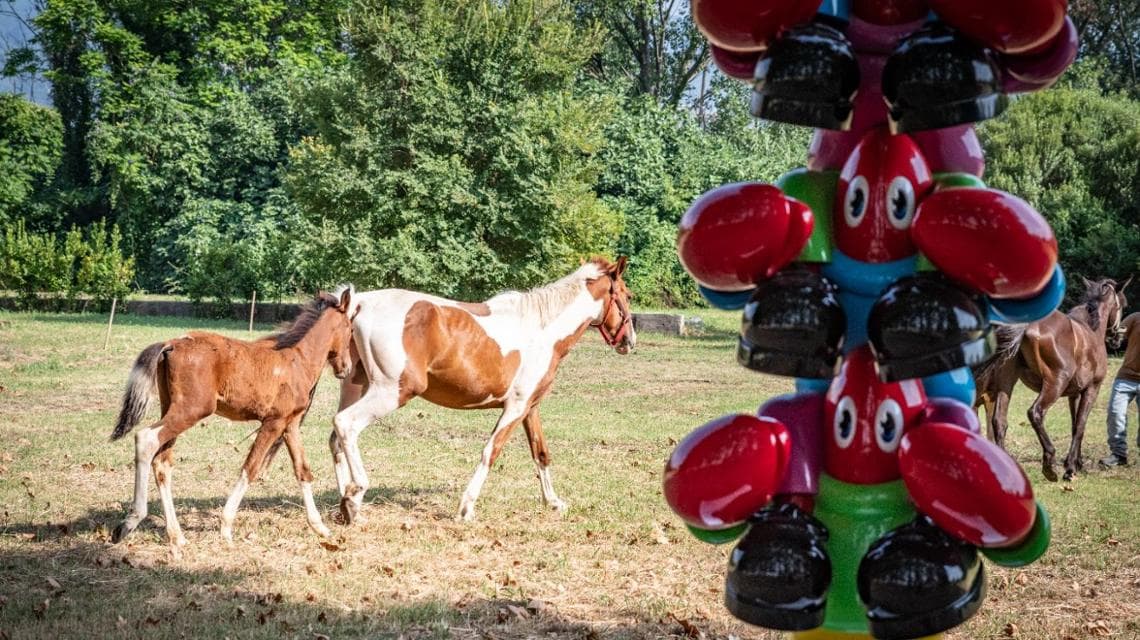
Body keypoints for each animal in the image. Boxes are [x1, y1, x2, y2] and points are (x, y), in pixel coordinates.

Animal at [108, 288, 356, 551]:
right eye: (350, 329)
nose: (346, 368)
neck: (297, 359)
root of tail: (171, 345)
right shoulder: (273, 422)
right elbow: (251, 468)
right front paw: (226, 528)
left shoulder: (290, 424)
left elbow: (302, 470)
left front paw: (321, 528)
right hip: (192, 410)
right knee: (145, 439)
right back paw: (129, 523)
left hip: (172, 408)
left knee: (163, 462)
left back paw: (177, 536)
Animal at [329, 256, 635, 524]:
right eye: (628, 295)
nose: (630, 341)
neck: (543, 330)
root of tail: (361, 303)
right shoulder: (515, 408)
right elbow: (491, 451)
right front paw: (466, 508)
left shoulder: (530, 408)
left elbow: (541, 452)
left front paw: (554, 502)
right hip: (391, 392)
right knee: (346, 424)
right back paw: (355, 496)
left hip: (356, 387)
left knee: (336, 439)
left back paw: (347, 504)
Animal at [975, 277, 1130, 481]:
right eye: (1123, 305)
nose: (1117, 338)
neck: (1090, 329)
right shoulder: (1091, 389)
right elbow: (1080, 425)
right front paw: (1070, 468)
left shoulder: (1074, 394)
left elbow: (1074, 425)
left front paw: (1077, 464)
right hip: (1054, 384)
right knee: (1035, 412)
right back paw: (1049, 464)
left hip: (1006, 384)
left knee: (999, 422)